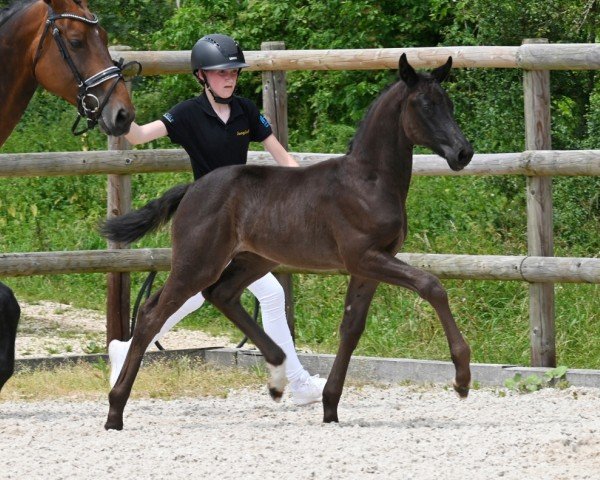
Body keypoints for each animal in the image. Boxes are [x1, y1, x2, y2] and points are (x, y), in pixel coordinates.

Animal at [101, 54, 474, 430]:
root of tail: (193, 188)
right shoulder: (365, 257)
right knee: (153, 313)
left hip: (252, 260)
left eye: (449, 104)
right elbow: (431, 285)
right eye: (424, 106)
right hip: (199, 262)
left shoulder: (369, 265)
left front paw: (330, 406)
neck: (369, 181)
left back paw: (278, 376)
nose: (463, 153)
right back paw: (115, 409)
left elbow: (351, 327)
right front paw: (461, 378)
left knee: (220, 294)